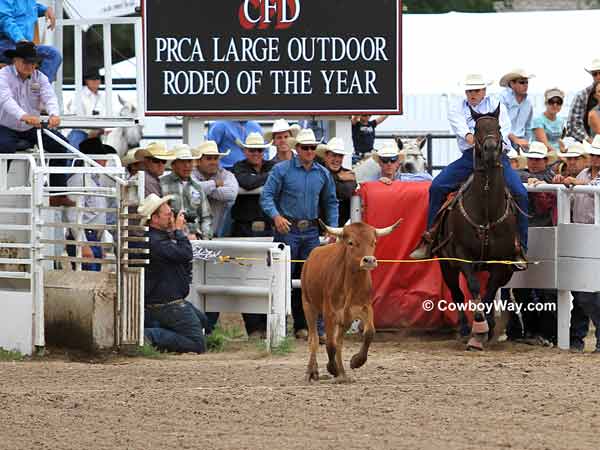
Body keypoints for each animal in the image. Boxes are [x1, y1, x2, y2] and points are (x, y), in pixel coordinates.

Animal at [436, 105, 520, 352]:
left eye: (499, 127)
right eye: (476, 129)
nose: (491, 149)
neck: (486, 211)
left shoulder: (501, 262)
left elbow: (489, 290)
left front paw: (488, 328)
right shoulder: (463, 256)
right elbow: (473, 287)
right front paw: (478, 331)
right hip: (446, 265)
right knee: (456, 292)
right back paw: (465, 329)